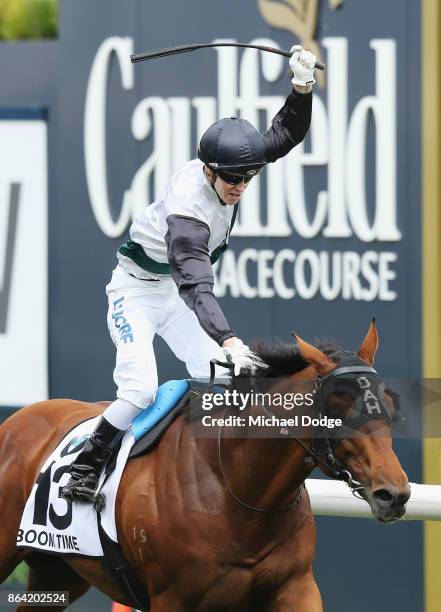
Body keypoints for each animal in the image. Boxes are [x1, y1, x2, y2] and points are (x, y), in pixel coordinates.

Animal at [0, 320, 410, 612]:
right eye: (339, 409)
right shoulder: (172, 599)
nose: (394, 494)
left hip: (59, 571)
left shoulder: (296, 587)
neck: (236, 492)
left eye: (390, 405)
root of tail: (17, 420)